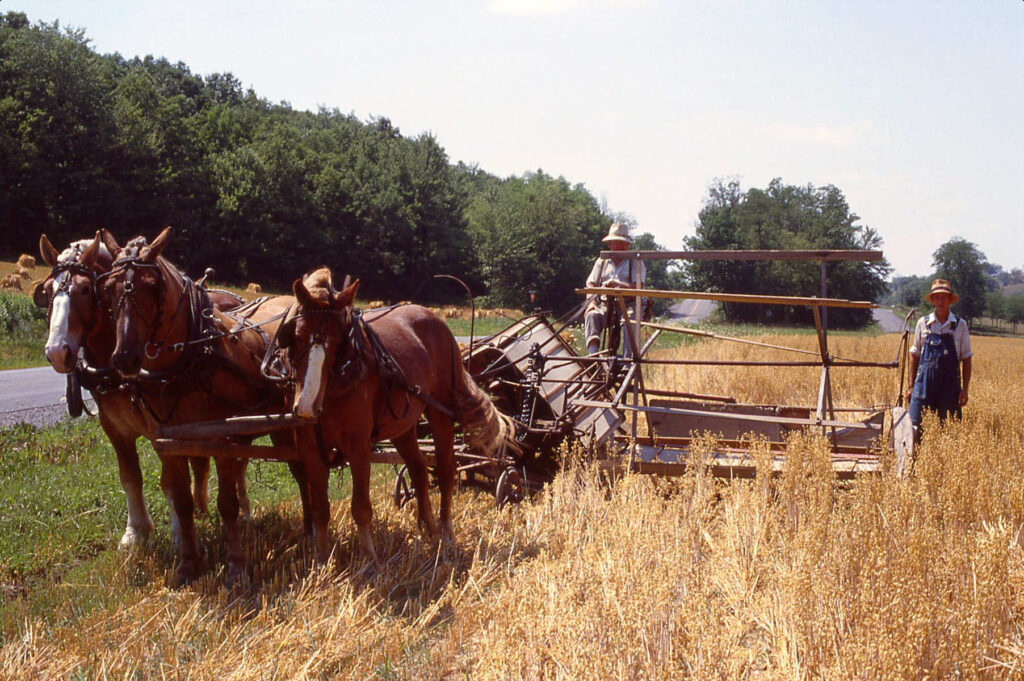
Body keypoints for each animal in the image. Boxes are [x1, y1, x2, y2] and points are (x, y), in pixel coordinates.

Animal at [34, 231, 243, 548]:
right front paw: (136, 533)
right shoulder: (114, 427)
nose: (57, 352)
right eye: (46, 290)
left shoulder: (160, 427)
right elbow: (130, 476)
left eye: (85, 289)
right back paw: (202, 507)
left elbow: (169, 480)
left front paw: (178, 533)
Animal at [96, 227, 294, 577]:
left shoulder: (221, 440)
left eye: (152, 286)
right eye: (107, 289)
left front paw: (235, 564)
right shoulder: (171, 443)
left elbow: (226, 504)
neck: (190, 359)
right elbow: (182, 502)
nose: (124, 358)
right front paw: (188, 563)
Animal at [284, 266, 516, 557]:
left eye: (338, 341)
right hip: (403, 426)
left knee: (446, 470)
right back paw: (429, 531)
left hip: (440, 413)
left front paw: (370, 559)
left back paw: (446, 534)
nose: (306, 406)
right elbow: (320, 511)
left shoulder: (359, 447)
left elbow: (361, 507)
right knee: (419, 471)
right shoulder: (310, 449)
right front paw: (322, 559)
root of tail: (436, 319)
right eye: (297, 336)